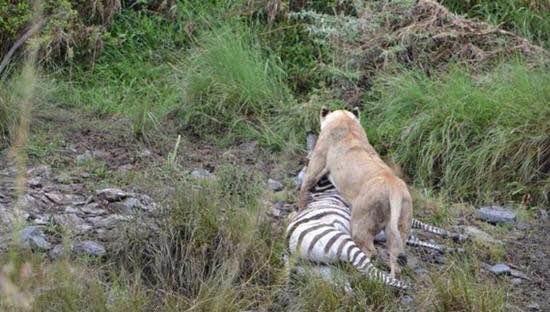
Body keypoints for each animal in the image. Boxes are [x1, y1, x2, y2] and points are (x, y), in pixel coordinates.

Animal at [300, 108, 412, 276]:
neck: (347, 123)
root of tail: (394, 187)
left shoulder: (317, 163)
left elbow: (304, 188)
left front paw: (299, 209)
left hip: (360, 221)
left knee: (369, 251)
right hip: (399, 226)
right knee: (396, 259)